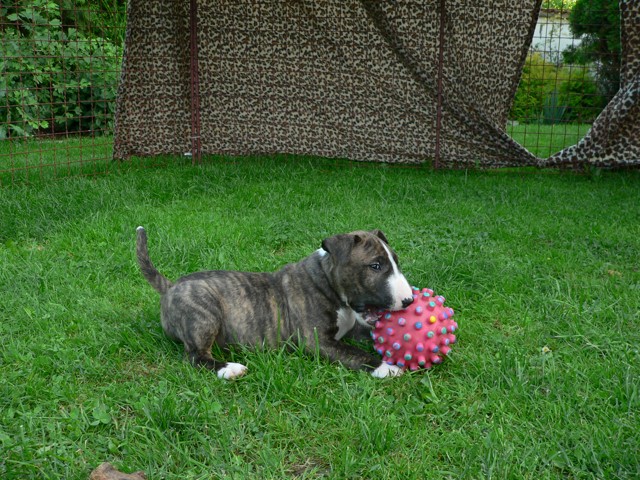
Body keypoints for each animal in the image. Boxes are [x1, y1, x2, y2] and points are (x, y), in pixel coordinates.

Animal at [136, 227, 414, 379]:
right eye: (375, 266)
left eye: (396, 261)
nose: (409, 301)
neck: (326, 281)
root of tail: (171, 286)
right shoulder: (317, 342)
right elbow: (356, 354)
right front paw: (387, 367)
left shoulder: (354, 328)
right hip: (204, 313)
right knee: (195, 356)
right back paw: (230, 369)